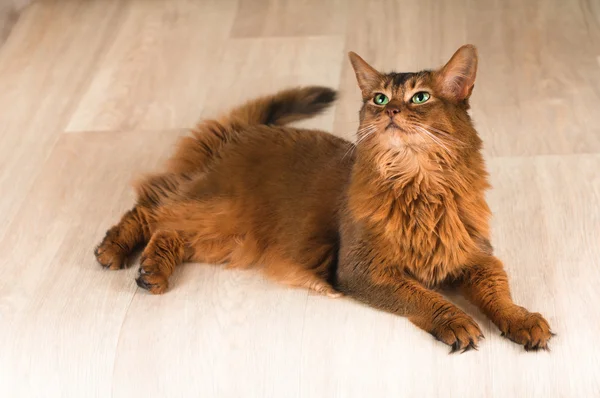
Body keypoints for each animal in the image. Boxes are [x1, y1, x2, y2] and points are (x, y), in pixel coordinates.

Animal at [97, 44, 552, 352]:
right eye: (379, 98)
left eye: (420, 97)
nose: (390, 111)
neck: (418, 185)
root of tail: (243, 132)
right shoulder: (361, 269)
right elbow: (424, 295)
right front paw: (455, 320)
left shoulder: (474, 257)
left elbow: (499, 293)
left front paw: (522, 320)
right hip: (223, 209)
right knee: (155, 209)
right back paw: (116, 251)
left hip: (228, 238)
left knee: (171, 227)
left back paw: (151, 271)